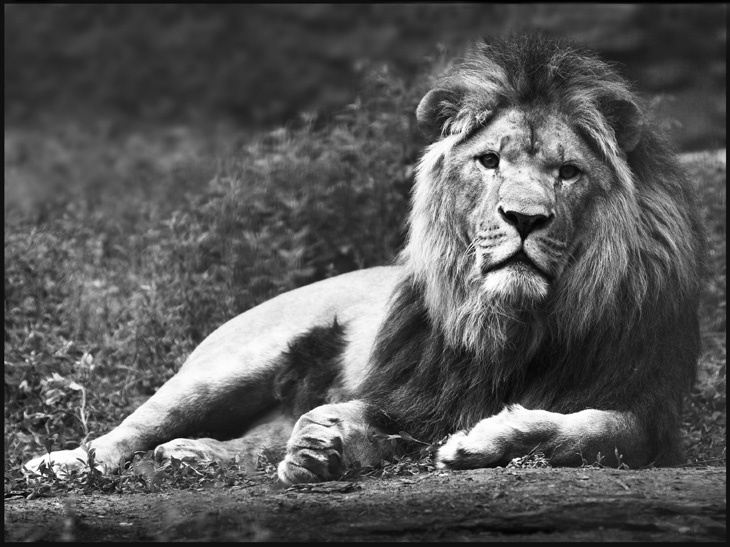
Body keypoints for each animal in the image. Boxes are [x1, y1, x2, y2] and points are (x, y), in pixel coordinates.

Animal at [25, 34, 704, 485]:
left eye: (567, 173)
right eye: (489, 161)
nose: (525, 219)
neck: (511, 326)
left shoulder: (650, 408)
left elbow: (596, 430)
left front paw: (481, 439)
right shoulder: (412, 395)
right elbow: (367, 412)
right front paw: (329, 443)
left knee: (256, 437)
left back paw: (205, 454)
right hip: (225, 365)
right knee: (129, 430)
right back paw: (62, 464)